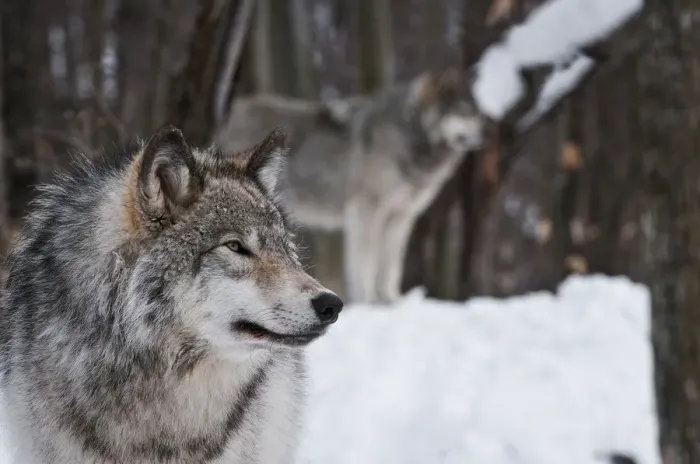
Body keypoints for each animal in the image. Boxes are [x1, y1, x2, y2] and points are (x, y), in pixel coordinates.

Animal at [218, 68, 486, 304]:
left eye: (477, 112)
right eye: (464, 111)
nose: (488, 132)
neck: (408, 138)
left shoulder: (401, 218)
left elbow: (391, 266)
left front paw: (389, 302)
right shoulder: (366, 213)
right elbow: (365, 263)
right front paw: (367, 302)